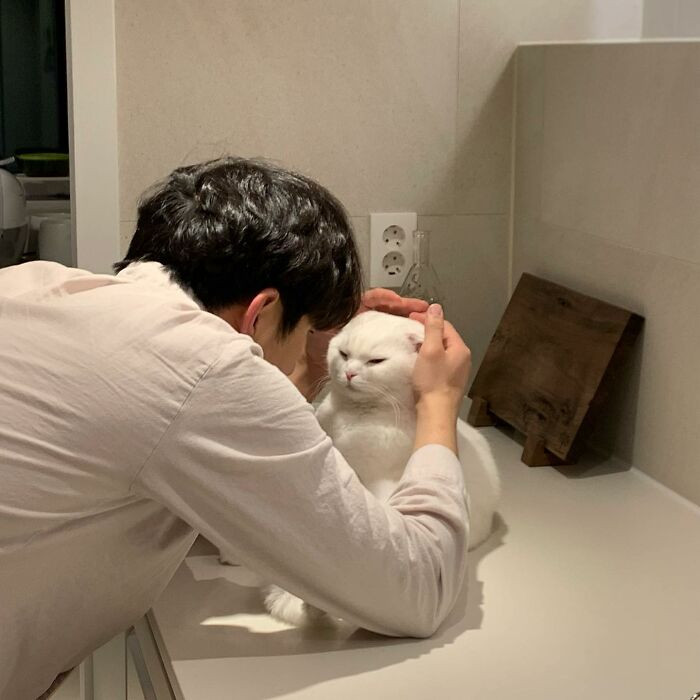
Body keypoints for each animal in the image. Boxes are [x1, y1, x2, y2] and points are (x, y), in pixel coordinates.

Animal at [264, 312, 504, 628]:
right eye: (344, 354)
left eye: (376, 361)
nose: (350, 374)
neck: (354, 417)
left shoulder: (379, 486)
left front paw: (299, 600)